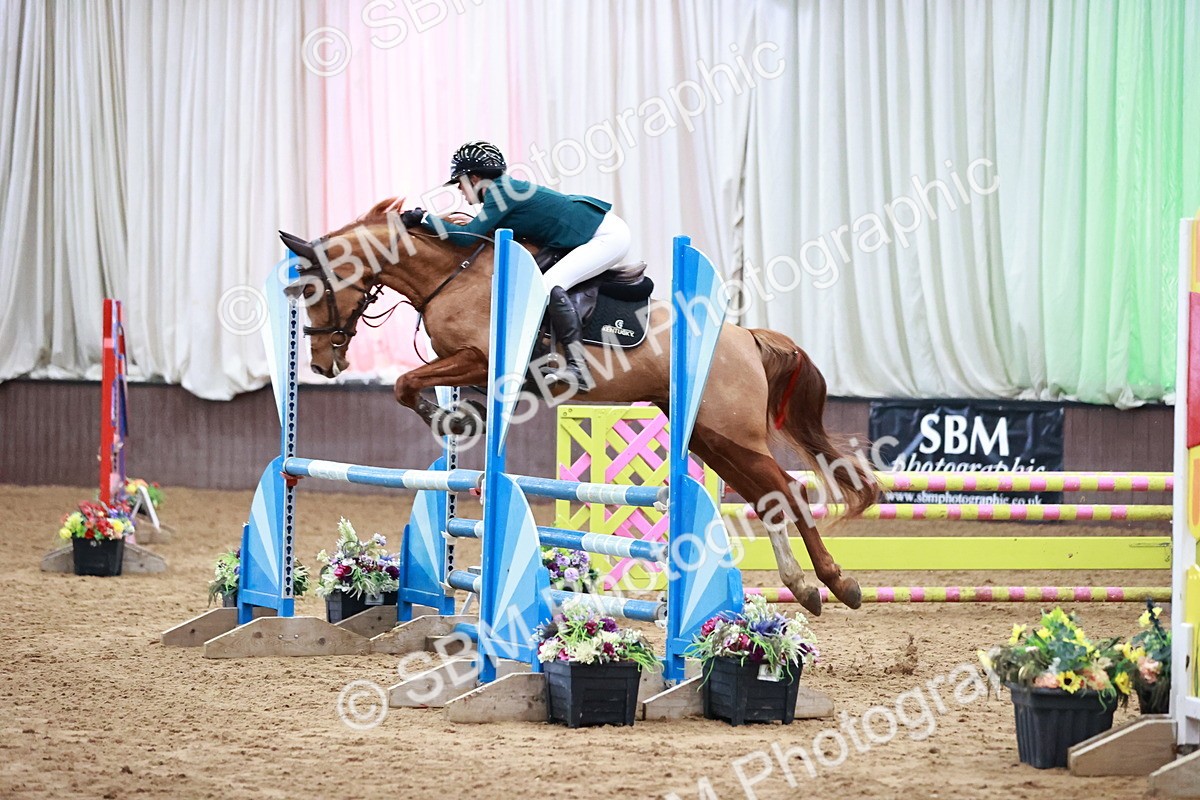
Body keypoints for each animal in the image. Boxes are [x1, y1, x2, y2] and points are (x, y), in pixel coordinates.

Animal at [278, 198, 880, 616]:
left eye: (311, 290)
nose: (323, 365)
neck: (451, 277)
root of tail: (743, 337)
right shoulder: (468, 364)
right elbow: (414, 386)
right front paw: (460, 417)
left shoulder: (480, 358)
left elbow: (405, 384)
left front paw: (446, 417)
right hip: (711, 437)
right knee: (769, 499)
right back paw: (804, 588)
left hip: (734, 433)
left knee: (790, 492)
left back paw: (839, 583)